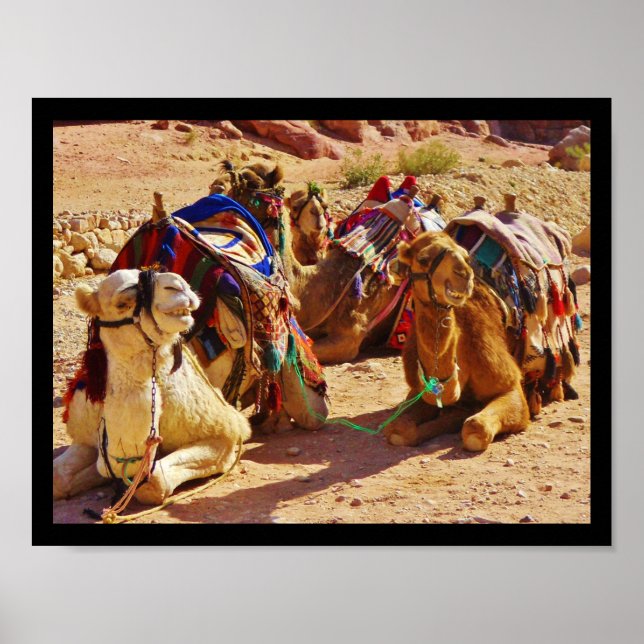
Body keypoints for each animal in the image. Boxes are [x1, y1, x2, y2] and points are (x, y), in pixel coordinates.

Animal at [54, 269, 252, 504]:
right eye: (123, 302)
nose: (179, 286)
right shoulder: (86, 436)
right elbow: (60, 476)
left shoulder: (223, 433)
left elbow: (155, 480)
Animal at [383, 232, 530, 451]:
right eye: (423, 259)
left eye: (466, 256)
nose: (464, 275)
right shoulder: (418, 391)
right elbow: (399, 429)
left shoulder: (510, 385)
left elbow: (475, 427)